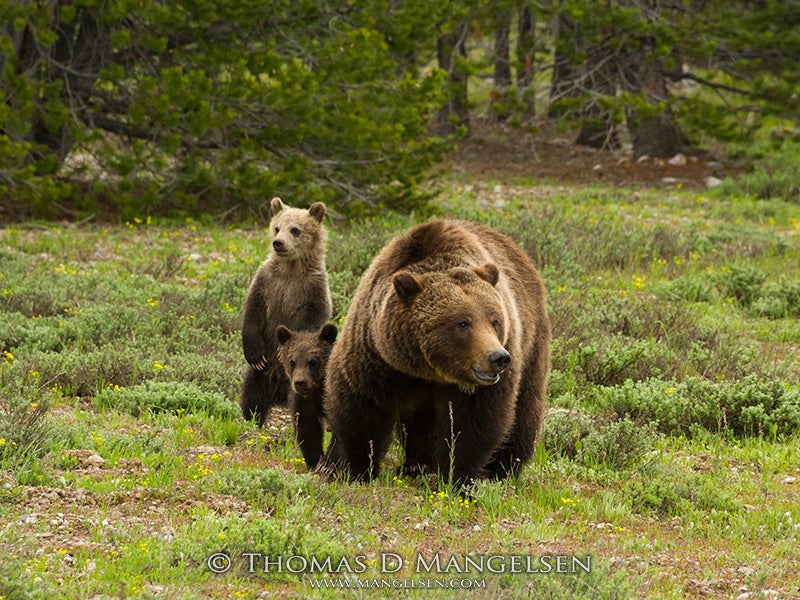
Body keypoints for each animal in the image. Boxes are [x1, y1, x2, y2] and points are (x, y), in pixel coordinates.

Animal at [242, 197, 332, 426]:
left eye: (295, 230)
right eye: (277, 227)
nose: (278, 242)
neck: (291, 271)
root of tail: (279, 395)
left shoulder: (314, 287)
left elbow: (313, 316)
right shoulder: (266, 282)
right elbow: (253, 311)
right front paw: (254, 353)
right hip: (261, 376)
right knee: (252, 393)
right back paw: (252, 418)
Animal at [324, 219, 552, 488]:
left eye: (495, 321)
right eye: (463, 323)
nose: (498, 358)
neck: (429, 370)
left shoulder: (480, 386)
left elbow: (473, 422)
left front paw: (459, 476)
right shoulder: (377, 356)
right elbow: (361, 406)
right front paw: (352, 468)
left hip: (532, 344)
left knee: (524, 409)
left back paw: (504, 468)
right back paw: (415, 466)